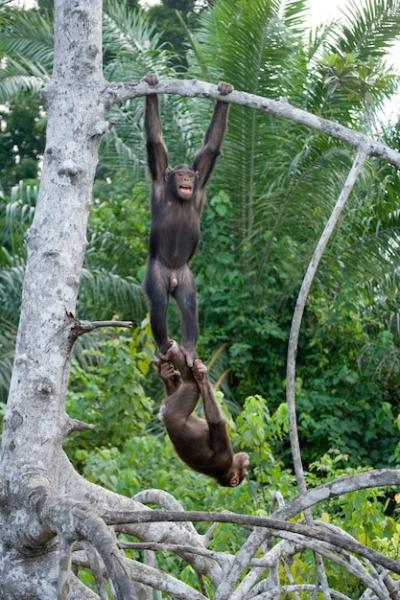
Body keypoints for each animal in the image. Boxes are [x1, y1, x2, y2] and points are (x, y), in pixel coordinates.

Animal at [143, 73, 234, 368]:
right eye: (180, 174)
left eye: (189, 175)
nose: (185, 178)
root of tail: (173, 276)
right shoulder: (159, 172)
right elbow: (155, 140)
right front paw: (151, 86)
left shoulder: (202, 176)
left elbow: (211, 146)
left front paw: (224, 93)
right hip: (157, 273)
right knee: (159, 303)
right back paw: (164, 345)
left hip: (185, 276)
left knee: (189, 305)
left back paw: (189, 349)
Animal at [157, 340, 248, 486]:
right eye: (246, 468)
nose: (247, 461)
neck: (230, 465)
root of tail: (164, 413)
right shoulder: (227, 457)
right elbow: (216, 420)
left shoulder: (225, 457)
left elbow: (215, 420)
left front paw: (202, 376)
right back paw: (166, 371)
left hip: (177, 405)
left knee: (190, 383)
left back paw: (174, 353)